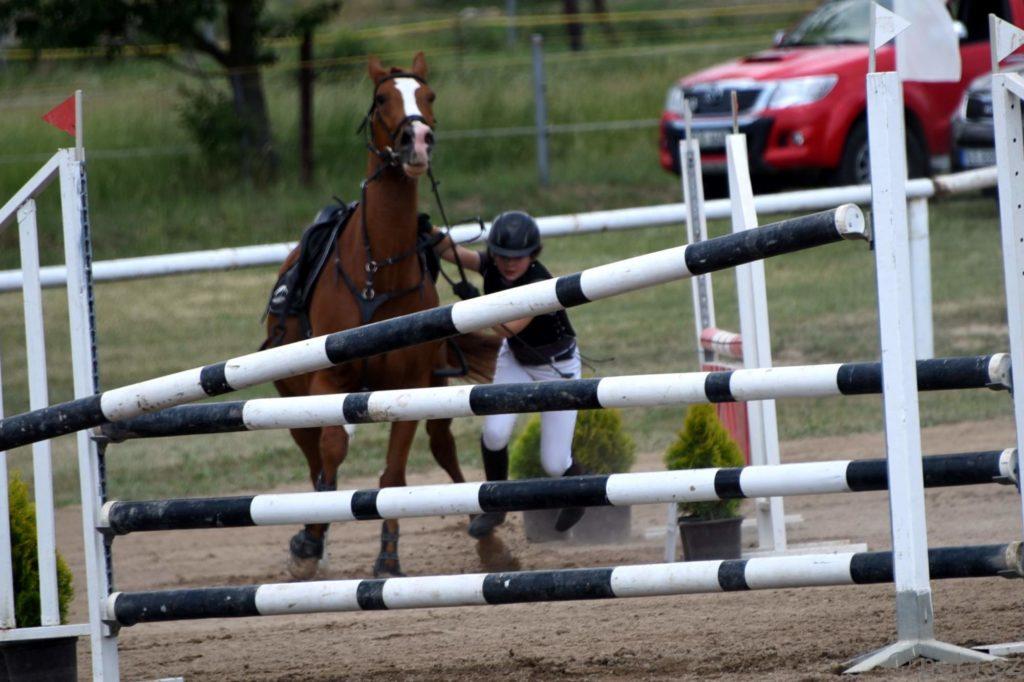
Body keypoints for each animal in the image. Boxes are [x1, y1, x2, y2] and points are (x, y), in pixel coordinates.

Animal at [266, 53, 498, 579]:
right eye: (381, 99)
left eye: (428, 95)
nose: (418, 140)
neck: (377, 272)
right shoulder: (328, 383)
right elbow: (331, 452)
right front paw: (310, 541)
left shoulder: (409, 386)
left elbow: (393, 473)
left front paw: (388, 556)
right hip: (291, 396)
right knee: (313, 454)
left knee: (441, 445)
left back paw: (484, 530)